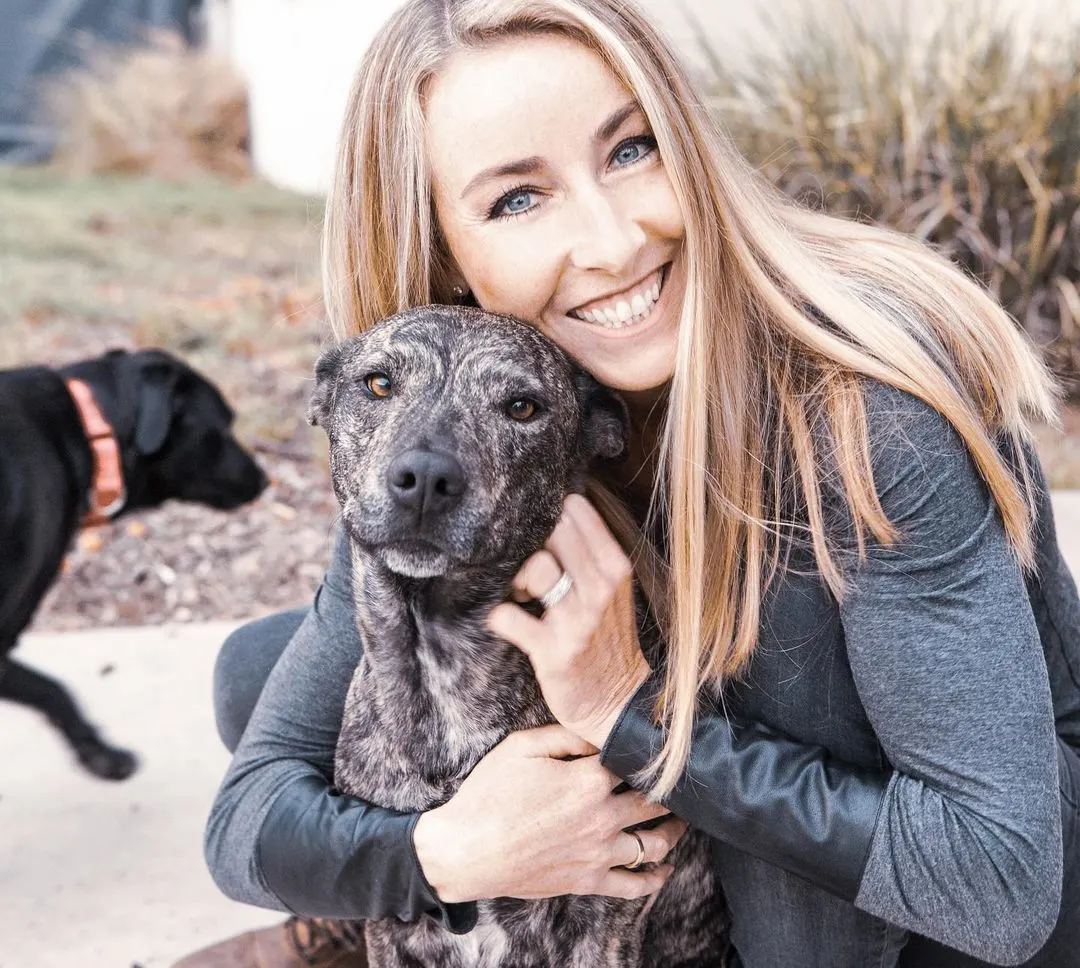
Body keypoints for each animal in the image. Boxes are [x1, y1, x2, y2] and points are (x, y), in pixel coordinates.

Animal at [306, 306, 725, 963]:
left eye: (523, 407)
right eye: (377, 384)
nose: (425, 477)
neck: (444, 665)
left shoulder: (604, 920)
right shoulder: (389, 930)